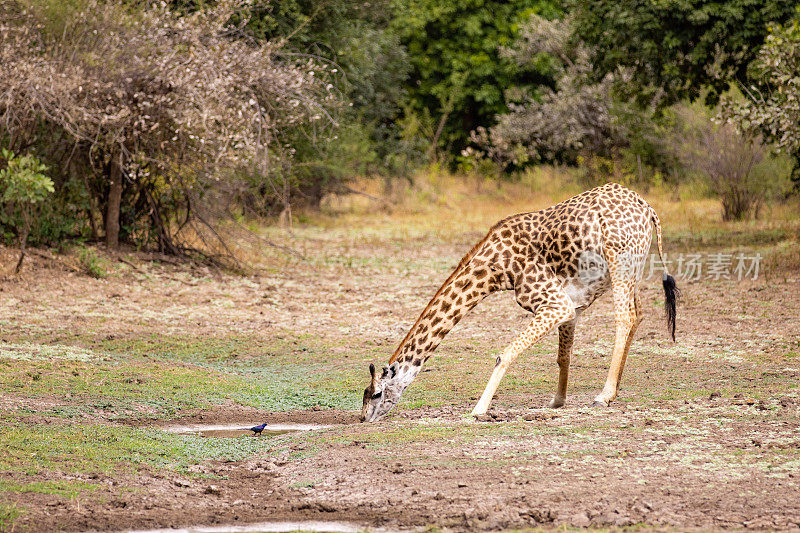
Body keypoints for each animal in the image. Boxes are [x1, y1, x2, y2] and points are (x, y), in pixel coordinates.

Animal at [360, 185, 680, 422]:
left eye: (375, 393)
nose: (363, 418)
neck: (496, 271)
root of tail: (648, 209)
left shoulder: (555, 302)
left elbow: (505, 354)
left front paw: (478, 409)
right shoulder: (570, 306)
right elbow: (563, 356)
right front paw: (557, 401)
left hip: (619, 261)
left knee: (625, 317)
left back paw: (603, 395)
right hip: (632, 268)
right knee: (639, 314)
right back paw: (614, 390)